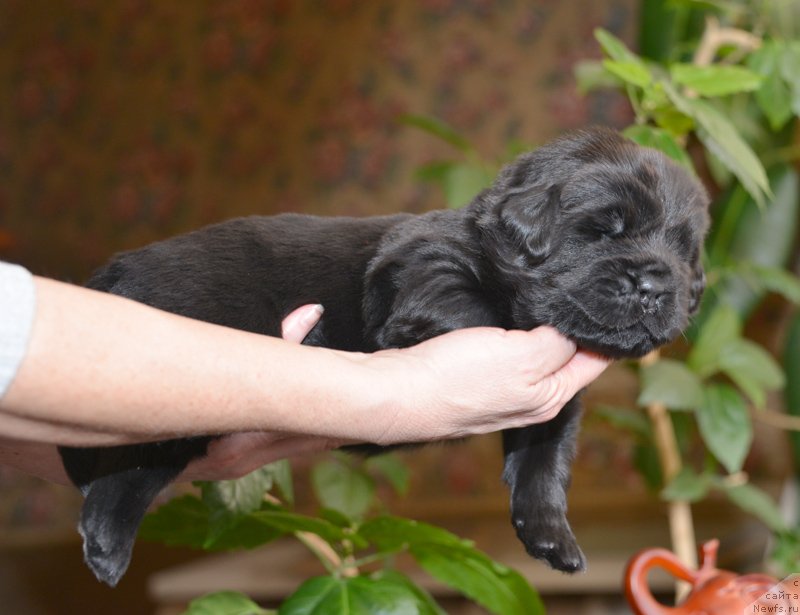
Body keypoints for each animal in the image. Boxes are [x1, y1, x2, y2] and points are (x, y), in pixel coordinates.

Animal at [61, 129, 708, 588]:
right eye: (604, 231)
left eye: (684, 249)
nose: (657, 284)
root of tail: (116, 270)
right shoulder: (421, 271)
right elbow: (472, 309)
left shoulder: (556, 406)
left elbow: (543, 462)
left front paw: (552, 536)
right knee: (127, 463)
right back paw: (107, 540)